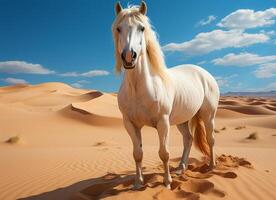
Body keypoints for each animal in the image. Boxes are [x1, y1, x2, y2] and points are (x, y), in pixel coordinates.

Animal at [112, 1, 220, 189]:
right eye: (119, 28)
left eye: (142, 28)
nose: (129, 57)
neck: (138, 89)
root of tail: (204, 73)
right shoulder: (130, 124)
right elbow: (137, 153)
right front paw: (138, 183)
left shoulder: (163, 123)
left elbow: (164, 153)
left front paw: (167, 182)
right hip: (183, 120)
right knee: (188, 139)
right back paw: (181, 167)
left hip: (208, 116)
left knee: (210, 139)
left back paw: (211, 166)